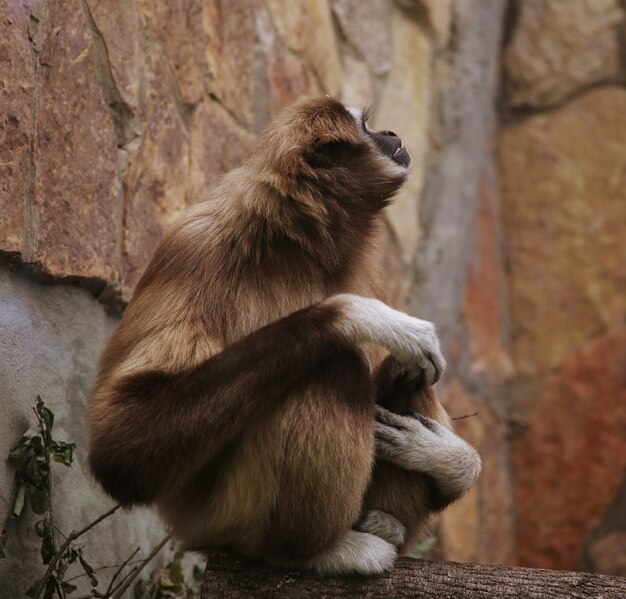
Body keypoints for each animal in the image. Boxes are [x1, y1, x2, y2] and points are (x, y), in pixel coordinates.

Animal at [86, 97, 478, 576]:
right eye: (367, 127)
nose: (390, 134)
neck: (297, 241)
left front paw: (449, 460)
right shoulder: (194, 246)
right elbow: (121, 448)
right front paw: (363, 317)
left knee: (404, 372)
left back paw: (384, 521)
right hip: (226, 517)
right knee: (334, 365)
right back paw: (314, 553)